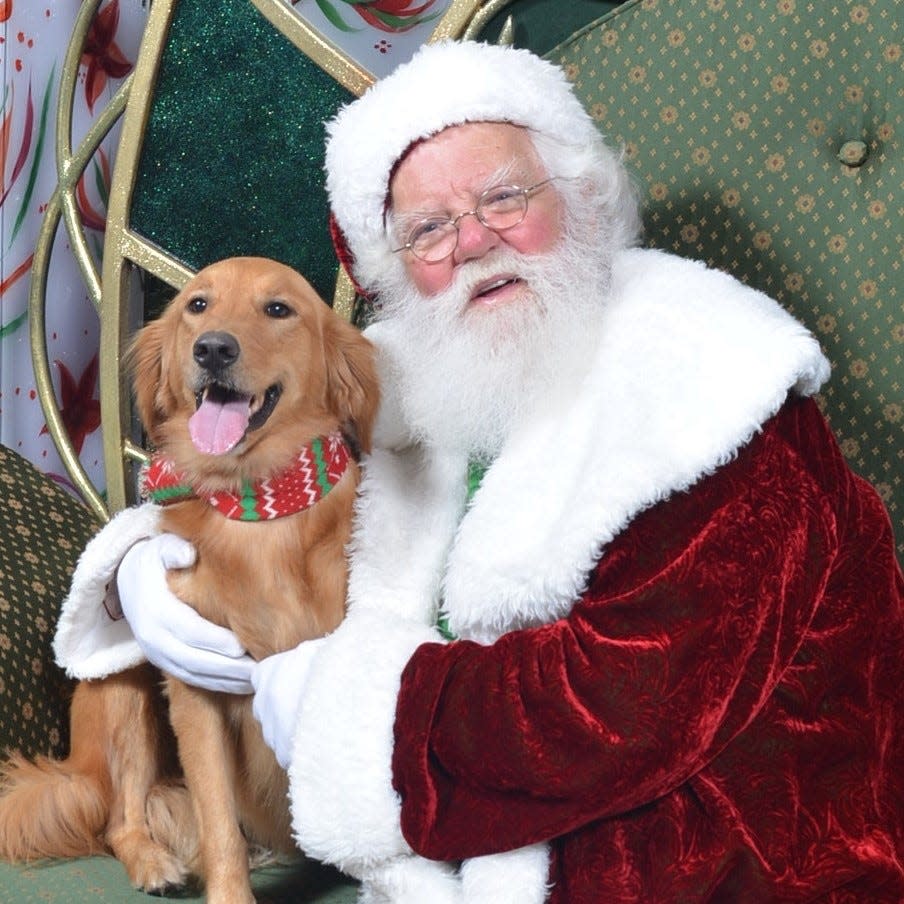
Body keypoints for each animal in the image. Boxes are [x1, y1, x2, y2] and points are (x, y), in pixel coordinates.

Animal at [0, 256, 380, 904]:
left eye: (278, 309)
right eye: (197, 305)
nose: (213, 349)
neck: (260, 513)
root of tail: (77, 768)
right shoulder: (196, 694)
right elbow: (218, 820)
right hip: (120, 688)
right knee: (120, 818)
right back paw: (154, 860)